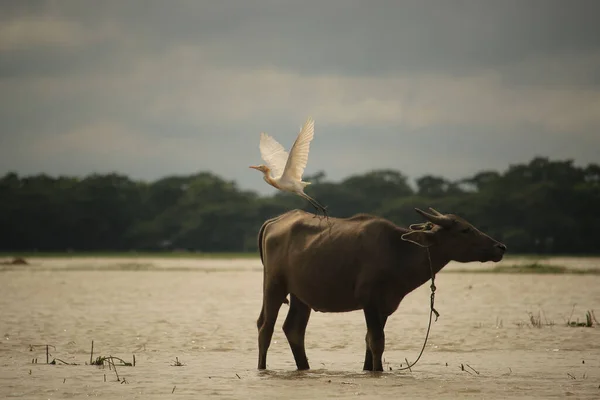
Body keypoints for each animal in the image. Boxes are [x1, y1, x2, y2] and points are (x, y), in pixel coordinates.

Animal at [254, 208, 506, 370]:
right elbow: (377, 342)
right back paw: (262, 367)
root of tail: (274, 221)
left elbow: (369, 341)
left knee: (293, 329)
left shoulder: (385, 305)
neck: (398, 252)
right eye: (465, 230)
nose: (500, 247)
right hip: (274, 285)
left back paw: (304, 367)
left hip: (301, 295)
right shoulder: (370, 302)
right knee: (265, 327)